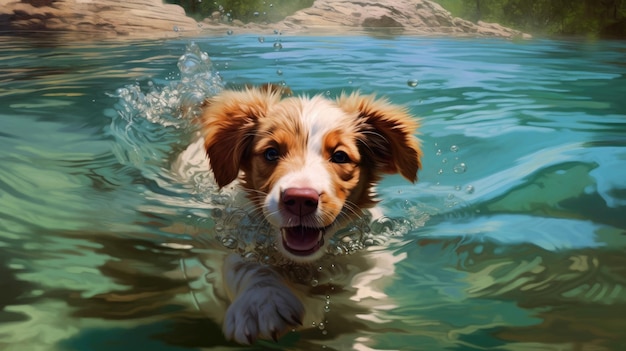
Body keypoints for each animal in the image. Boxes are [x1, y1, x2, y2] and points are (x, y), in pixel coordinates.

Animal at [197, 84, 420, 344]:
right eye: (271, 153)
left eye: (340, 156)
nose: (301, 200)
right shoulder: (237, 235)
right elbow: (247, 264)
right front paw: (261, 301)